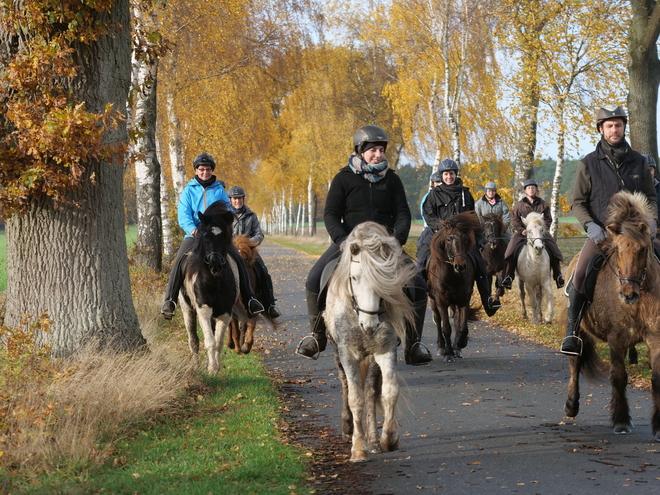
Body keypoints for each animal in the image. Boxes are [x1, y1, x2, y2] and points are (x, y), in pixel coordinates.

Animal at [324, 223, 418, 464]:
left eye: (385, 279)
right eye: (354, 278)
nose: (369, 325)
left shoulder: (385, 350)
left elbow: (387, 391)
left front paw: (388, 439)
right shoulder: (347, 354)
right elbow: (355, 398)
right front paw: (358, 449)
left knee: (370, 391)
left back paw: (374, 440)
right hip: (337, 352)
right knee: (345, 384)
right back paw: (348, 428)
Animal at [428, 211, 480, 362]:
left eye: (465, 239)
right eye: (449, 239)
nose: (460, 265)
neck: (452, 275)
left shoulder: (463, 299)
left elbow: (461, 326)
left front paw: (460, 344)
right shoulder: (441, 301)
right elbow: (446, 327)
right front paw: (448, 353)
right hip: (433, 300)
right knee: (438, 320)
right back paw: (441, 347)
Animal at [564, 191, 660, 442]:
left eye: (643, 249)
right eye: (617, 250)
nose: (628, 294)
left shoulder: (656, 339)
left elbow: (656, 378)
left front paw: (658, 427)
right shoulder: (616, 339)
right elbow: (618, 376)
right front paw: (621, 421)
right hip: (580, 331)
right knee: (575, 362)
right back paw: (571, 405)